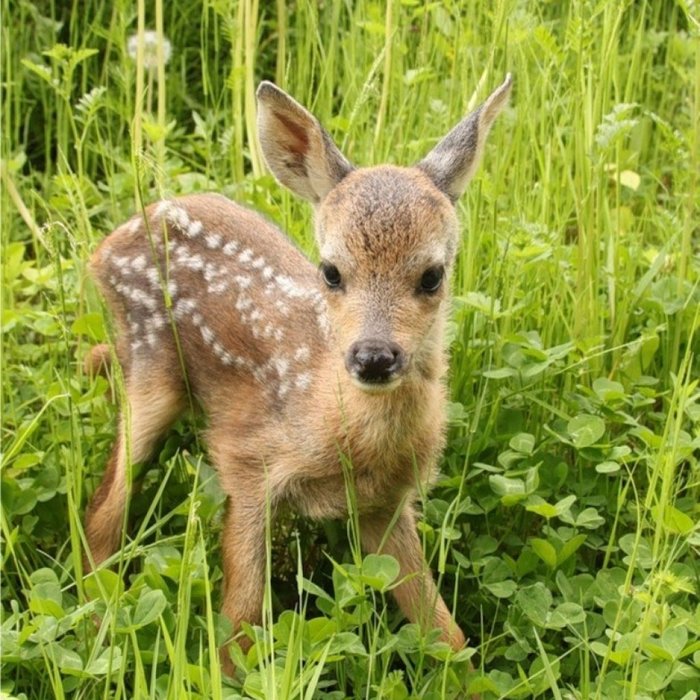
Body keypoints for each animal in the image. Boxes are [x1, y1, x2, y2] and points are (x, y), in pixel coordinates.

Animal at [83, 75, 516, 672]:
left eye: (432, 275)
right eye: (331, 271)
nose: (373, 357)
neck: (339, 426)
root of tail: (107, 244)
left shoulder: (385, 504)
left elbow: (443, 632)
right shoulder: (245, 459)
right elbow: (240, 620)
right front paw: (228, 676)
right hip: (153, 376)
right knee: (101, 514)